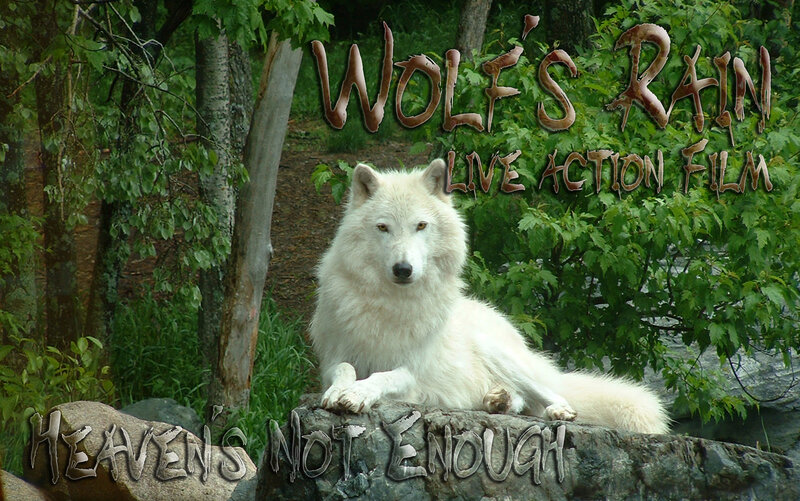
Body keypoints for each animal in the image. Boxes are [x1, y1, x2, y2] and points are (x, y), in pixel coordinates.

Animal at [309, 159, 669, 434]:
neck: (391, 304)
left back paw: (554, 410)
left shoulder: (413, 373)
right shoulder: (333, 358)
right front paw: (340, 391)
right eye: (383, 227)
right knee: (521, 401)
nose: (403, 269)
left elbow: (383, 376)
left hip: (499, 353)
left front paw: (358, 394)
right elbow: (344, 369)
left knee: (549, 394)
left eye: (421, 226)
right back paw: (498, 400)